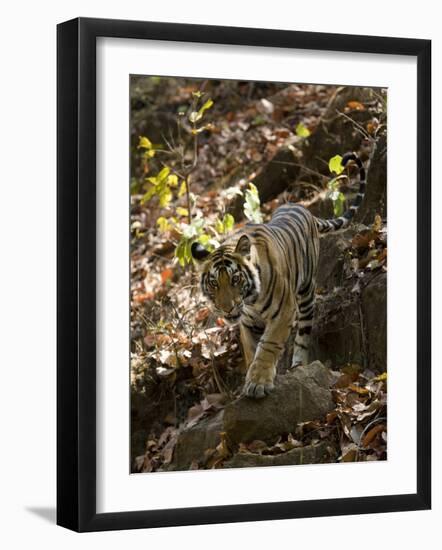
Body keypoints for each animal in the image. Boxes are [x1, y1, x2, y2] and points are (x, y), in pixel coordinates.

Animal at [190, 153, 366, 398]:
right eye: (214, 283)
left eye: (235, 279)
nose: (226, 309)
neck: (250, 300)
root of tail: (302, 206)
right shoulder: (247, 323)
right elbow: (251, 351)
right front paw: (251, 376)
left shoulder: (284, 312)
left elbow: (268, 346)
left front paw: (258, 382)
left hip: (305, 294)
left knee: (303, 334)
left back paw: (298, 365)